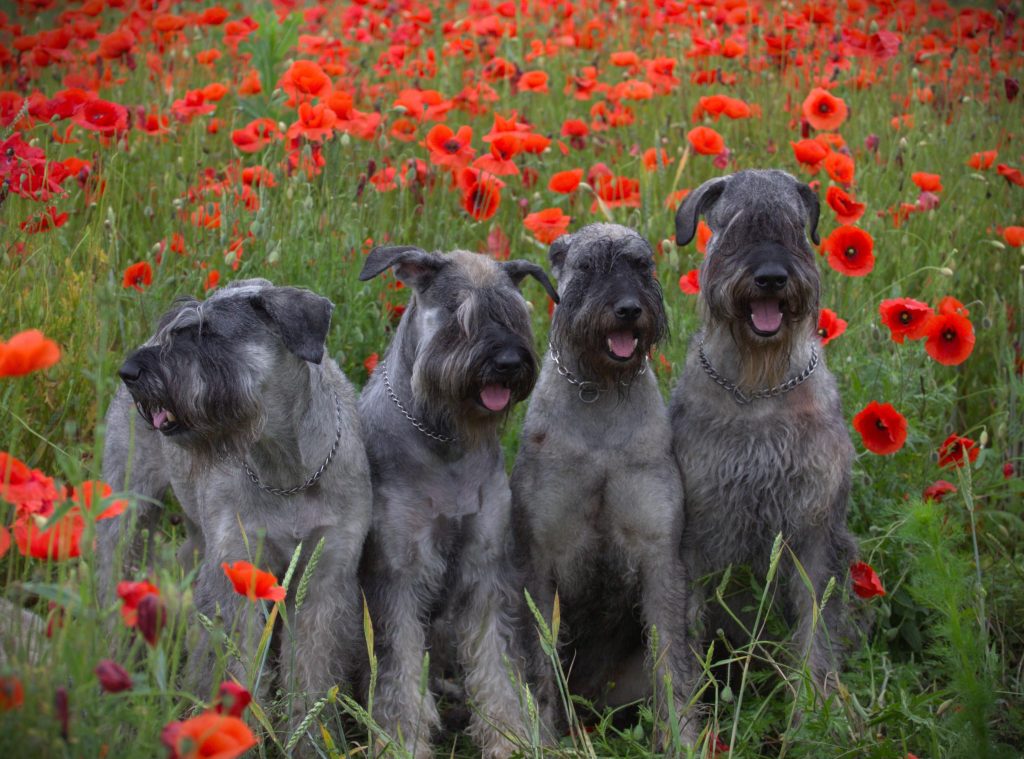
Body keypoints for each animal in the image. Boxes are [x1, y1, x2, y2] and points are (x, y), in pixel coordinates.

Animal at [97, 276, 372, 721]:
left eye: (207, 333)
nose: (130, 371)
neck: (287, 470)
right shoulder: (235, 571)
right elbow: (233, 665)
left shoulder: (324, 579)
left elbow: (310, 673)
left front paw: (309, 731)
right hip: (131, 509)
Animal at [356, 245, 557, 757]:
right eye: (459, 315)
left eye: (515, 314)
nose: (508, 361)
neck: (444, 440)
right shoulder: (399, 577)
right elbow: (401, 678)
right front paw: (403, 743)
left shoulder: (484, 570)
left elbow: (496, 669)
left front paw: (510, 739)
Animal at [512, 220, 696, 741]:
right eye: (589, 266)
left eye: (641, 264)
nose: (628, 308)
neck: (600, 395)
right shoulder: (540, 562)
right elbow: (542, 662)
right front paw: (545, 738)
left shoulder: (659, 554)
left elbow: (671, 663)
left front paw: (682, 737)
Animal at [671, 170, 856, 700]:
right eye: (735, 226)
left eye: (793, 227)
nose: (772, 276)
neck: (759, 388)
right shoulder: (694, 534)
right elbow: (685, 633)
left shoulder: (814, 532)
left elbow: (816, 631)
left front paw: (816, 707)